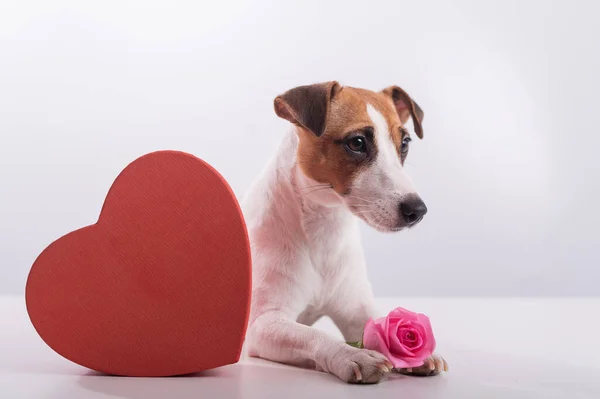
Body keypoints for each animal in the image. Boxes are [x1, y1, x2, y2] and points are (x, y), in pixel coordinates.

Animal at [240, 82, 446, 384]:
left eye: (405, 143)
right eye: (357, 143)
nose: (417, 210)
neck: (323, 231)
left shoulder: (356, 310)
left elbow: (378, 325)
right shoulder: (263, 324)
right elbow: (313, 335)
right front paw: (351, 355)